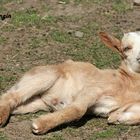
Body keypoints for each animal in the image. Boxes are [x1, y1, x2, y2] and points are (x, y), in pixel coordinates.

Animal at [0, 31, 140, 135]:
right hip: (44, 76)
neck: (128, 83)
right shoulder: (94, 88)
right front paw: (39, 125)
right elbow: (78, 109)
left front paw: (116, 118)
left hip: (35, 103)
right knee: (11, 95)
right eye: (126, 48)